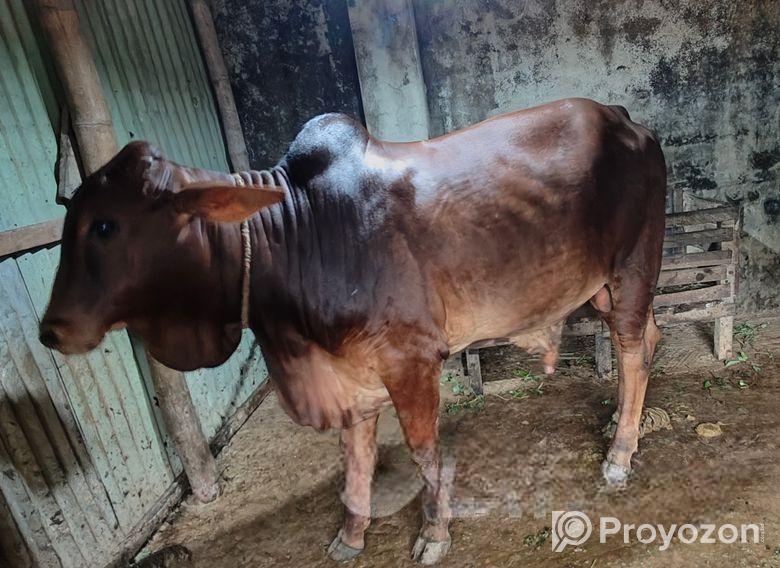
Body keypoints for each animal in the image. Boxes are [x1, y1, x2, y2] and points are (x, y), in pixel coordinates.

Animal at [40, 98, 665, 564]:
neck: (294, 235)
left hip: (633, 267)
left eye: (105, 226)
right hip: (603, 287)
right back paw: (620, 422)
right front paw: (351, 535)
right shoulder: (350, 373)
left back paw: (619, 454)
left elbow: (424, 451)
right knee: (645, 341)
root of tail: (626, 119)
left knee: (633, 349)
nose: (52, 330)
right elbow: (355, 457)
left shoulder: (410, 360)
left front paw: (433, 536)